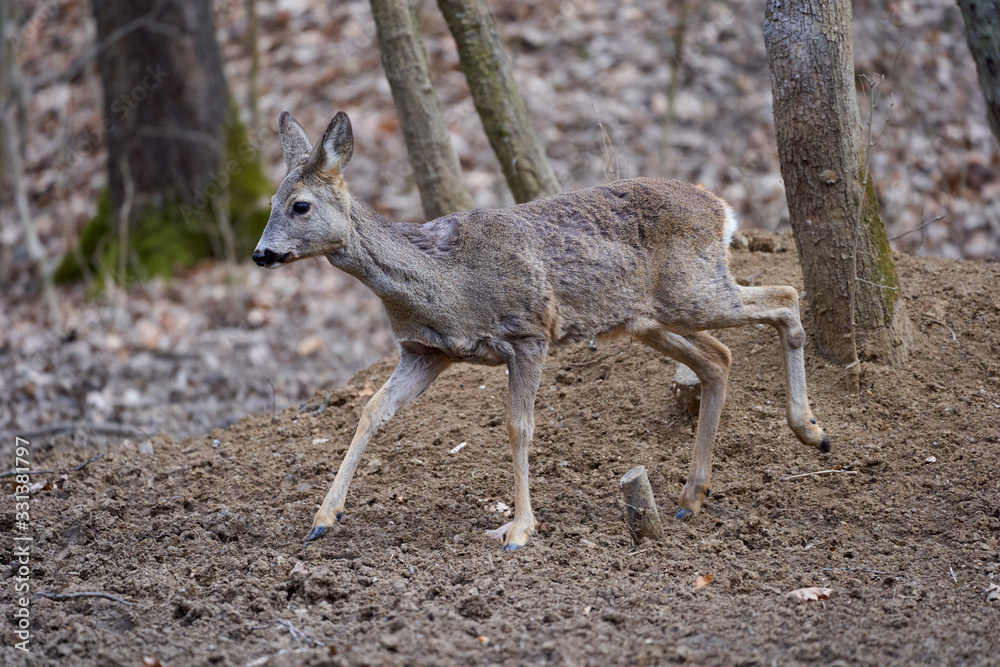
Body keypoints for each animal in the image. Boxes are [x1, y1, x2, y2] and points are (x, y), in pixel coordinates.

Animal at [253, 111, 830, 551]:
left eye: (300, 205)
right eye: (270, 204)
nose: (261, 253)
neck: (444, 282)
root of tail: (722, 208)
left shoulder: (528, 334)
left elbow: (518, 427)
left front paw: (519, 530)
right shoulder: (426, 351)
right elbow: (373, 410)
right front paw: (322, 520)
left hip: (693, 292)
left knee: (784, 298)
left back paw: (811, 430)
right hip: (649, 317)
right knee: (719, 359)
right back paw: (691, 498)